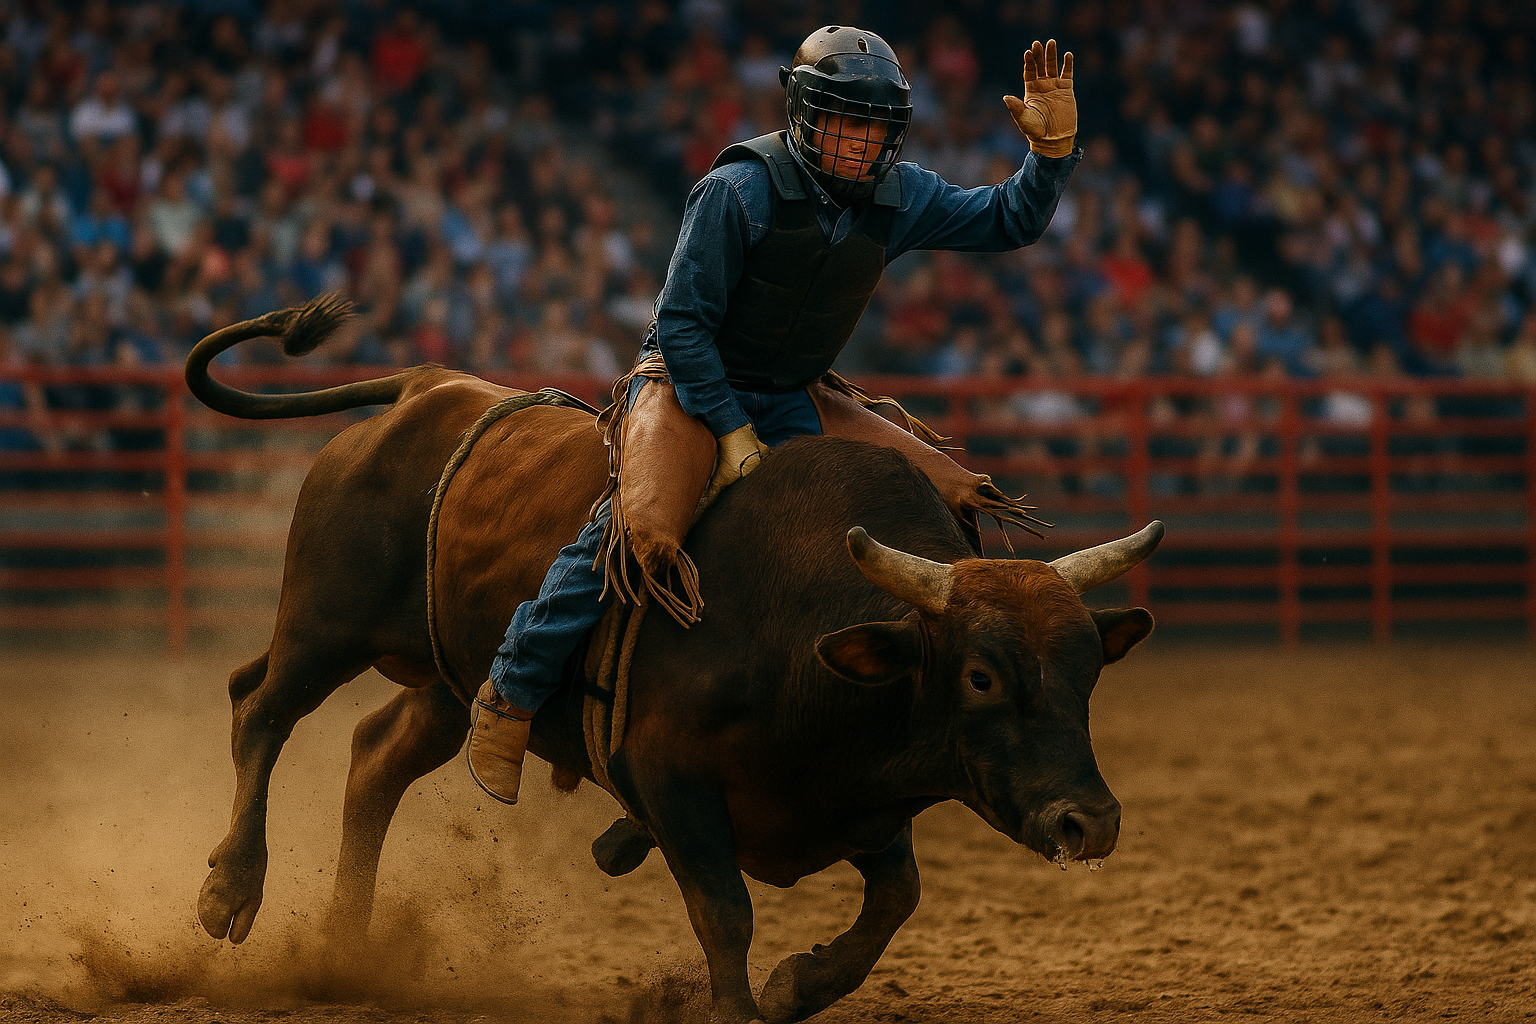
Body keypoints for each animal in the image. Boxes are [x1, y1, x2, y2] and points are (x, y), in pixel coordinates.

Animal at [186, 299, 1161, 1024]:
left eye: (1088, 672)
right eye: (981, 676)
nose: (1090, 822)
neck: (798, 626)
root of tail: (427, 387)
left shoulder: (862, 794)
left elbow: (897, 897)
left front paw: (797, 985)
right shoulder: (669, 778)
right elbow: (724, 910)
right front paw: (738, 1002)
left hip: (453, 679)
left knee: (377, 756)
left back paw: (347, 948)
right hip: (325, 624)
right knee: (257, 707)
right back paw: (232, 889)